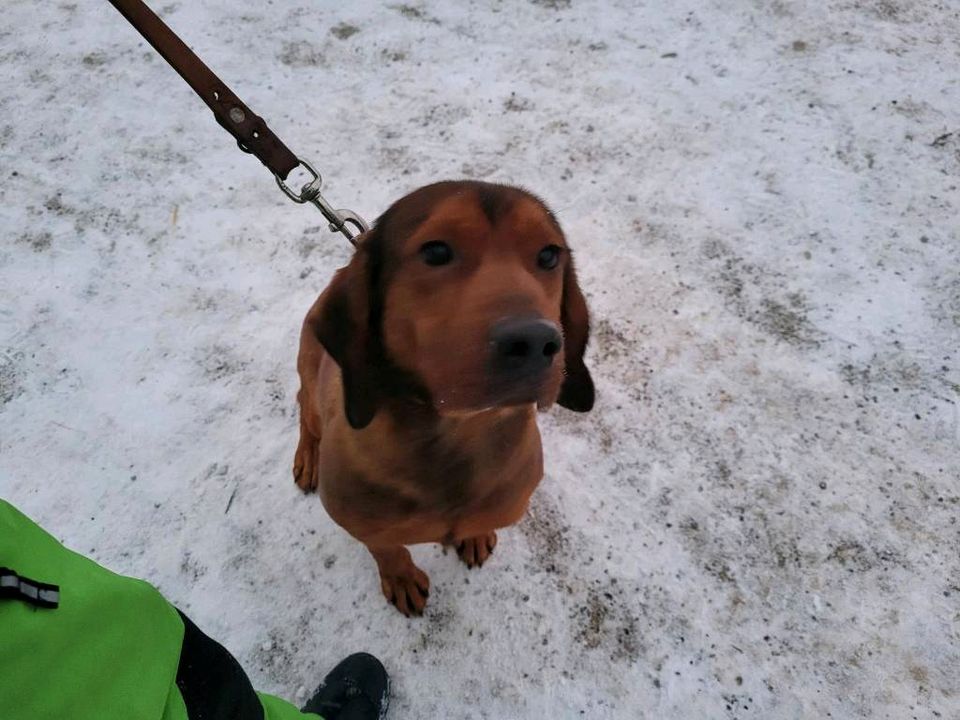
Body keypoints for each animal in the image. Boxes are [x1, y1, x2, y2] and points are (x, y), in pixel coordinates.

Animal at [292, 180, 592, 612]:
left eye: (549, 255)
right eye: (436, 252)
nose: (535, 342)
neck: (457, 440)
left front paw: (475, 535)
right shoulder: (356, 520)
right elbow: (386, 547)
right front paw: (401, 576)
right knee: (304, 407)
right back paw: (307, 457)